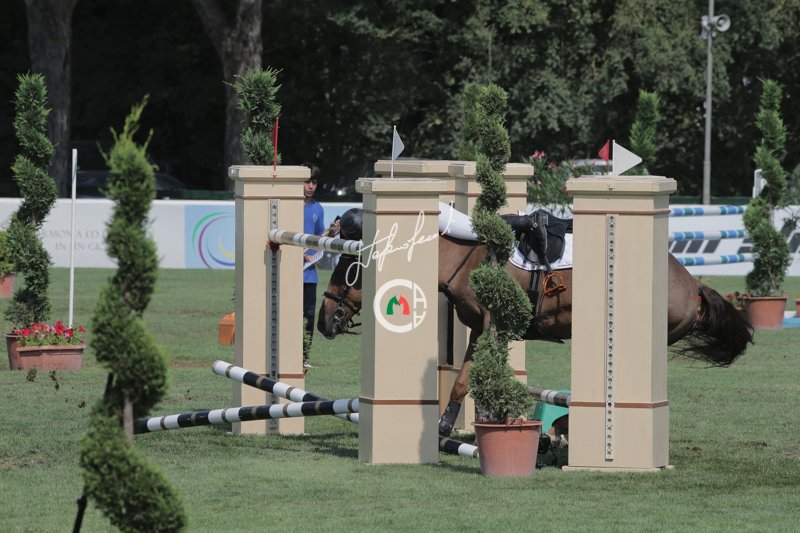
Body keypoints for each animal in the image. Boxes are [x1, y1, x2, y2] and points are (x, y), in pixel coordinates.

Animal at [317, 208, 754, 437]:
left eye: (347, 268)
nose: (322, 321)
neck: (462, 259)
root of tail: (693, 285)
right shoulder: (481, 329)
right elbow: (465, 378)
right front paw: (450, 423)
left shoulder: (494, 325)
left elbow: (472, 377)